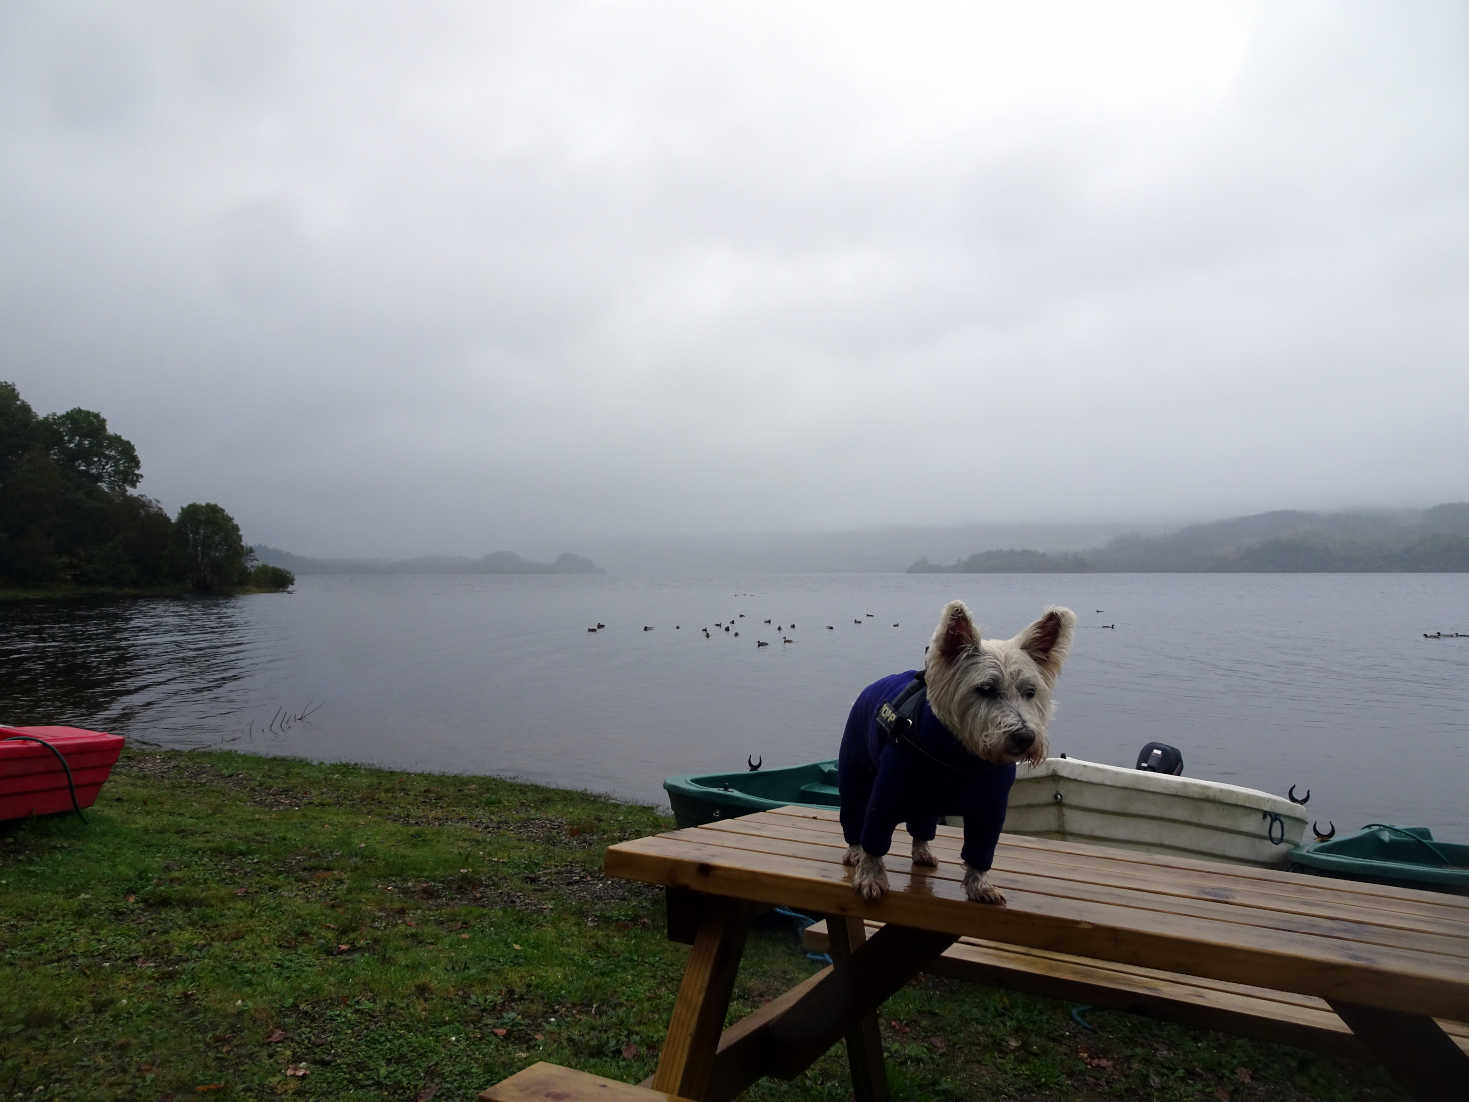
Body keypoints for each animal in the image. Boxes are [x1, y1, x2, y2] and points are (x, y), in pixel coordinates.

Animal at [840, 605, 1081, 905]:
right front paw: (871, 879)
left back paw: (923, 852)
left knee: (922, 826)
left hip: (925, 803)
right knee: (854, 816)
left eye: (1030, 691)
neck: (961, 755)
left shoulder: (991, 809)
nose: (1025, 737)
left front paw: (981, 886)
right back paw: (854, 852)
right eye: (986, 689)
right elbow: (875, 839)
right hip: (856, 773)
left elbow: (980, 850)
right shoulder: (886, 796)